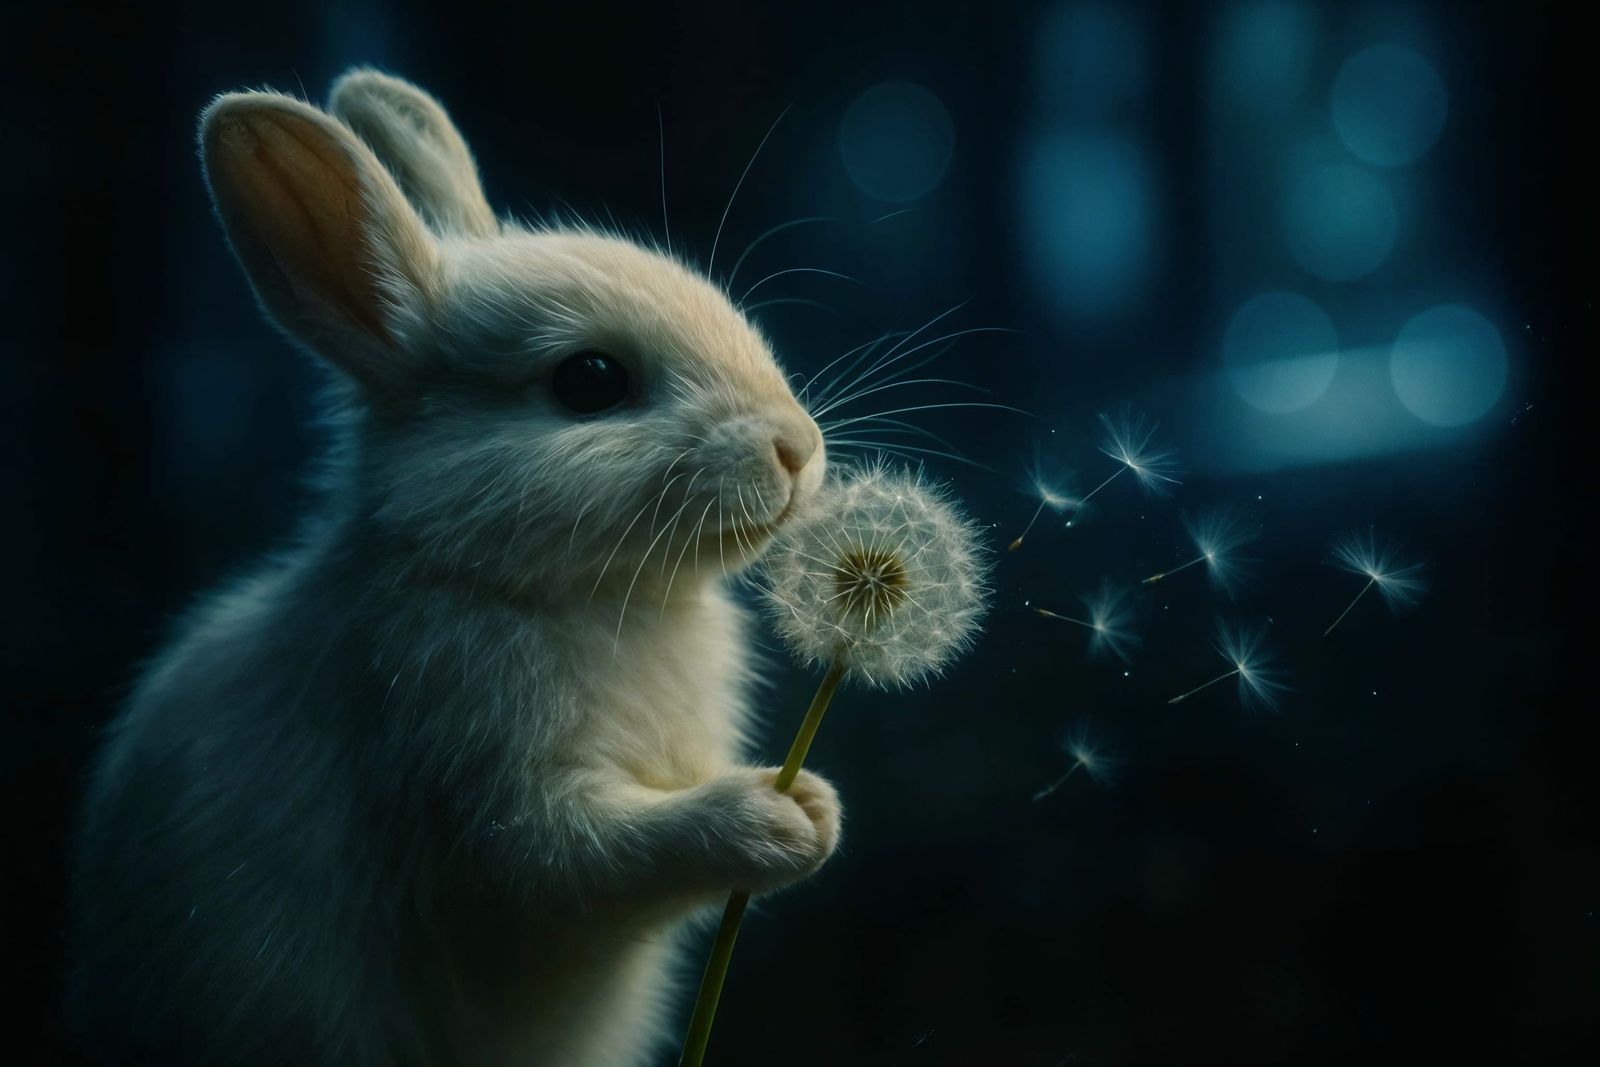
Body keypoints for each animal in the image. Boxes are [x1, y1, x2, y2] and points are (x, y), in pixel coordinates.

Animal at [68, 68, 840, 1066]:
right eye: (589, 381)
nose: (797, 448)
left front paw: (819, 803)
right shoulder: (487, 806)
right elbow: (594, 855)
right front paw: (776, 818)